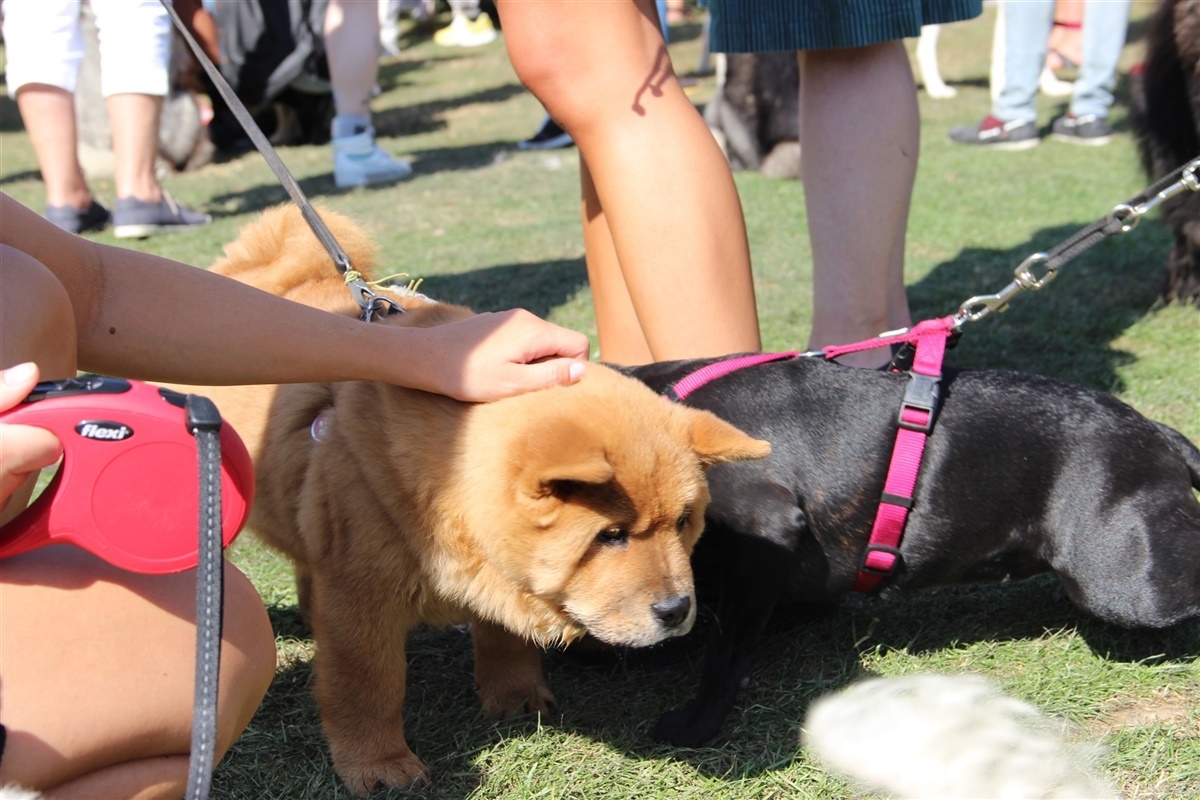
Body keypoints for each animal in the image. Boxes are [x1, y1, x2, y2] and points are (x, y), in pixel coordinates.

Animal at [184, 203, 768, 791]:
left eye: (684, 523)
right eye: (610, 536)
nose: (677, 609)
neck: (440, 489)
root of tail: (256, 271)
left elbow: (504, 638)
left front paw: (517, 698)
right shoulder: (360, 598)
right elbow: (367, 687)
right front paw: (378, 765)